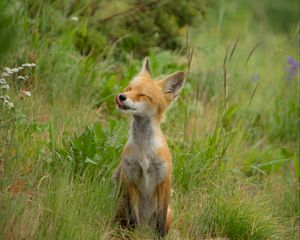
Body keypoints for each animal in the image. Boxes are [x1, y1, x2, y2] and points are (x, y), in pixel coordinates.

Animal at [114, 57, 185, 237]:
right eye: (129, 88)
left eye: (143, 95)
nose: (121, 96)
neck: (144, 150)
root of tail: (146, 228)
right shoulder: (130, 177)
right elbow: (134, 219)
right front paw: (133, 236)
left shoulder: (164, 179)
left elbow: (160, 223)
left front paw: (160, 237)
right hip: (121, 206)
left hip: (170, 212)